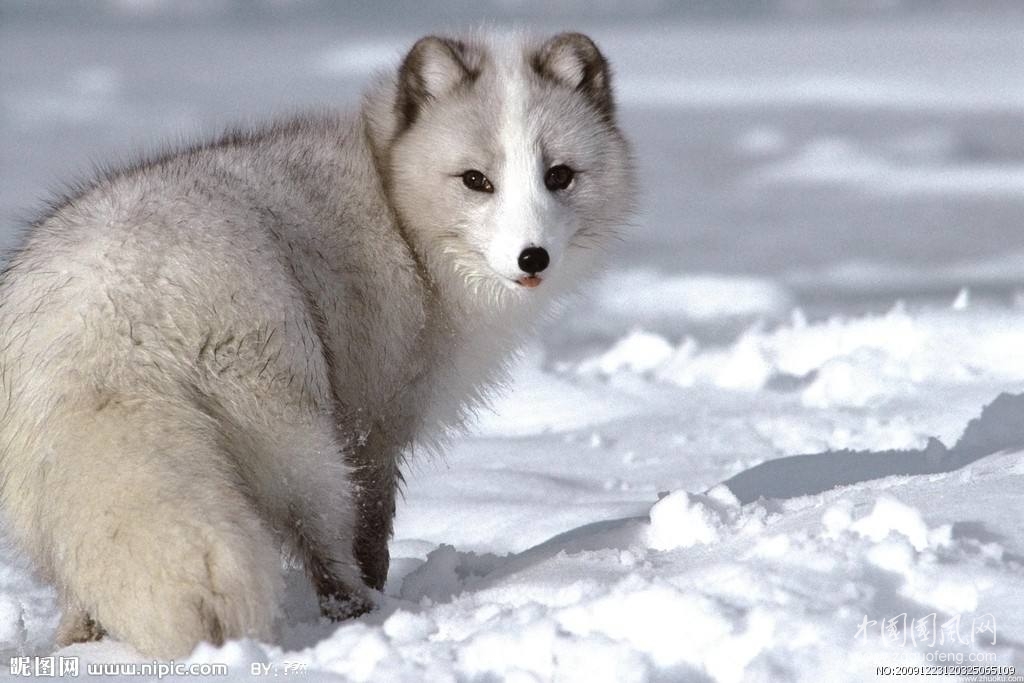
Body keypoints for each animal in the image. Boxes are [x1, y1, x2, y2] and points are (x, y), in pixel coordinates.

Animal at [0, 31, 630, 655]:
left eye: (559, 176)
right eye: (476, 180)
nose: (532, 258)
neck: (398, 211)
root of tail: (108, 312)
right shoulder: (374, 420)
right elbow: (372, 526)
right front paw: (376, 588)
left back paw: (77, 644)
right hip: (296, 437)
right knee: (322, 540)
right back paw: (359, 612)